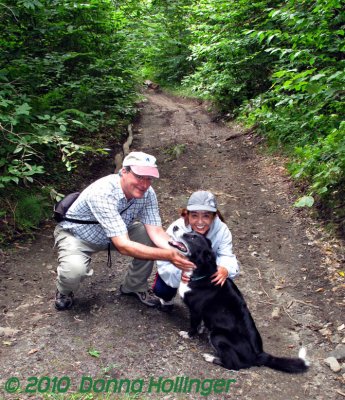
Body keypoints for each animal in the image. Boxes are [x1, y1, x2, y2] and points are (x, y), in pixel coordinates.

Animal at [169, 233, 306, 374]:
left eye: (193, 238)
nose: (176, 229)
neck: (203, 274)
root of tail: (259, 355)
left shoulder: (195, 310)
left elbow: (193, 325)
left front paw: (188, 334)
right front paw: (201, 329)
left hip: (218, 336)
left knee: (234, 365)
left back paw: (211, 358)